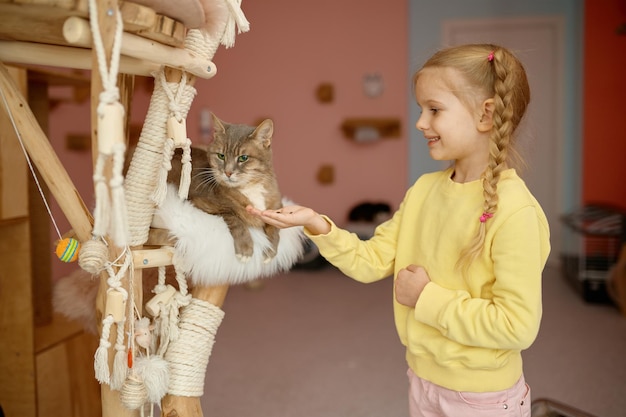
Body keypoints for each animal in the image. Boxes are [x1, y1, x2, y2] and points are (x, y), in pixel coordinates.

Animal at [168, 113, 280, 264]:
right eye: (221, 156)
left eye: (243, 158)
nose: (228, 172)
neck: (250, 188)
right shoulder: (202, 204)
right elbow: (234, 217)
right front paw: (245, 248)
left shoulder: (276, 205)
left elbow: (275, 226)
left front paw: (270, 250)